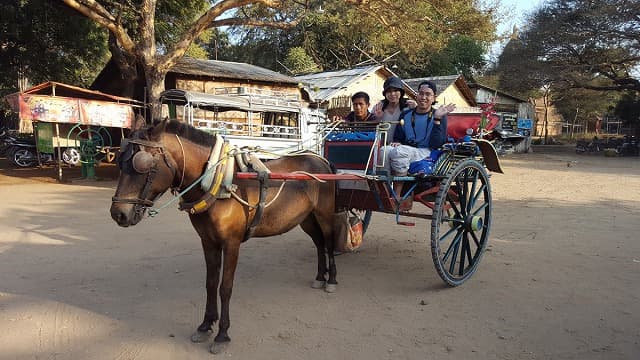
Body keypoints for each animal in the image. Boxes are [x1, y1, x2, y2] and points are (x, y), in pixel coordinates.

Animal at [109, 119, 340, 352]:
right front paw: (205, 325)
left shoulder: (231, 243)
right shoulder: (208, 242)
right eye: (120, 160)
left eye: (143, 165)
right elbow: (210, 284)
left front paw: (222, 334)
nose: (118, 213)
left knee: (329, 244)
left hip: (324, 215)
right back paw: (320, 277)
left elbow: (225, 288)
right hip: (307, 219)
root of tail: (320, 160)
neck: (220, 184)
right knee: (319, 244)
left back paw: (331, 280)